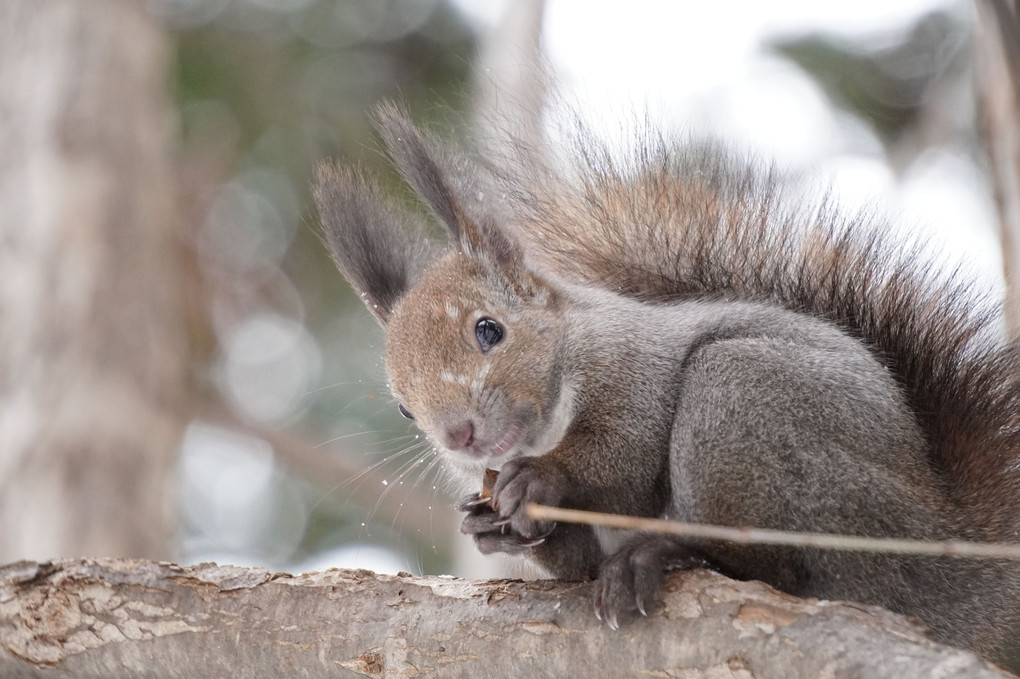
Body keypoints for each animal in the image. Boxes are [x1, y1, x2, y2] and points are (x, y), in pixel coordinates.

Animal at [314, 104, 1020, 656]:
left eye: (489, 330)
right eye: (404, 410)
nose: (458, 435)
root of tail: (942, 544)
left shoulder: (636, 368)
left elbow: (626, 459)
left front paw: (543, 480)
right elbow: (574, 563)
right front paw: (488, 524)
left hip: (750, 407)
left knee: (778, 569)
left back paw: (671, 555)